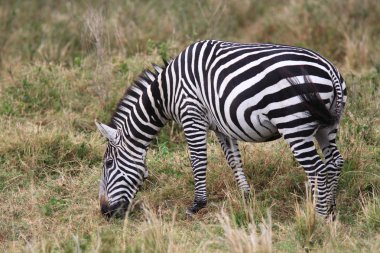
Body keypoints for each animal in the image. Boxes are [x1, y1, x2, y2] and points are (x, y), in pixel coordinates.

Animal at [95, 39, 348, 219]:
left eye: (108, 164)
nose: (105, 212)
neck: (165, 93)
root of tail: (330, 69)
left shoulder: (191, 115)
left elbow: (198, 161)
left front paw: (197, 205)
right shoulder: (221, 126)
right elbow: (233, 160)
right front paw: (246, 196)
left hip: (293, 123)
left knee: (317, 170)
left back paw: (318, 217)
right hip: (327, 126)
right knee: (334, 162)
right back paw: (332, 209)